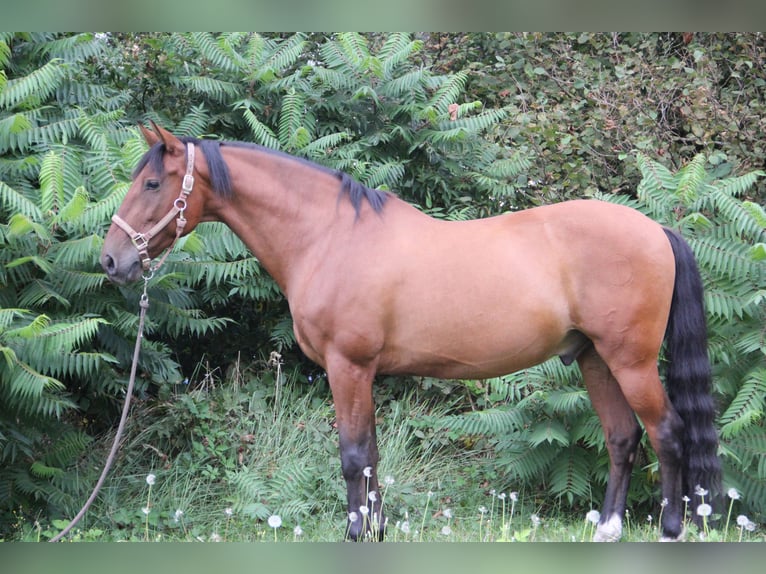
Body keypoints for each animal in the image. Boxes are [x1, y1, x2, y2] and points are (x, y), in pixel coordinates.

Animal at [100, 124, 720, 544]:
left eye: (152, 182)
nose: (111, 261)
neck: (329, 236)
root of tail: (656, 230)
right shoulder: (362, 373)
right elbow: (371, 454)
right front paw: (376, 533)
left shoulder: (348, 366)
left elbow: (353, 455)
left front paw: (355, 535)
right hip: (595, 359)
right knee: (622, 437)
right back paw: (608, 531)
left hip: (630, 360)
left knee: (667, 432)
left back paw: (670, 529)